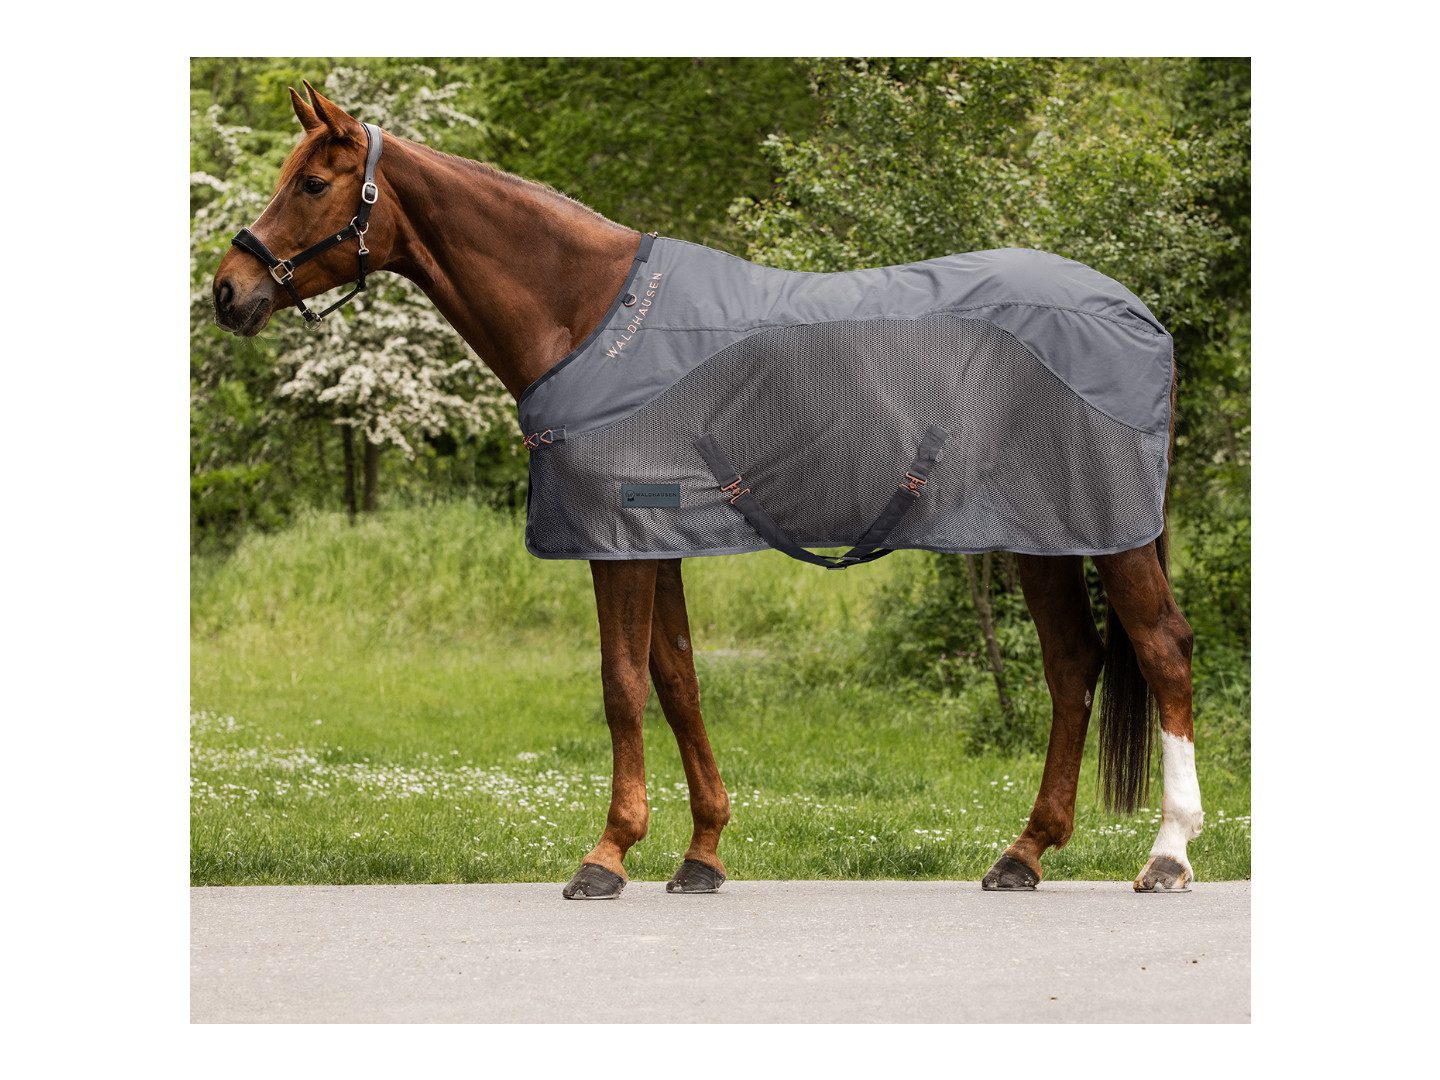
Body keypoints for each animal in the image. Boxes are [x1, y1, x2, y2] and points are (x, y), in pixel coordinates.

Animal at [210, 83, 1203, 898]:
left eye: (312, 184)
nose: (228, 290)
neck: (588, 315)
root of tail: (1136, 313)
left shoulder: (617, 540)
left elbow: (621, 685)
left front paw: (607, 855)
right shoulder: (657, 541)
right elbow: (678, 679)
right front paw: (702, 853)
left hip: (1109, 534)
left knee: (1162, 651)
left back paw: (1168, 854)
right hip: (1042, 535)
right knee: (1073, 664)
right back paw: (1023, 854)